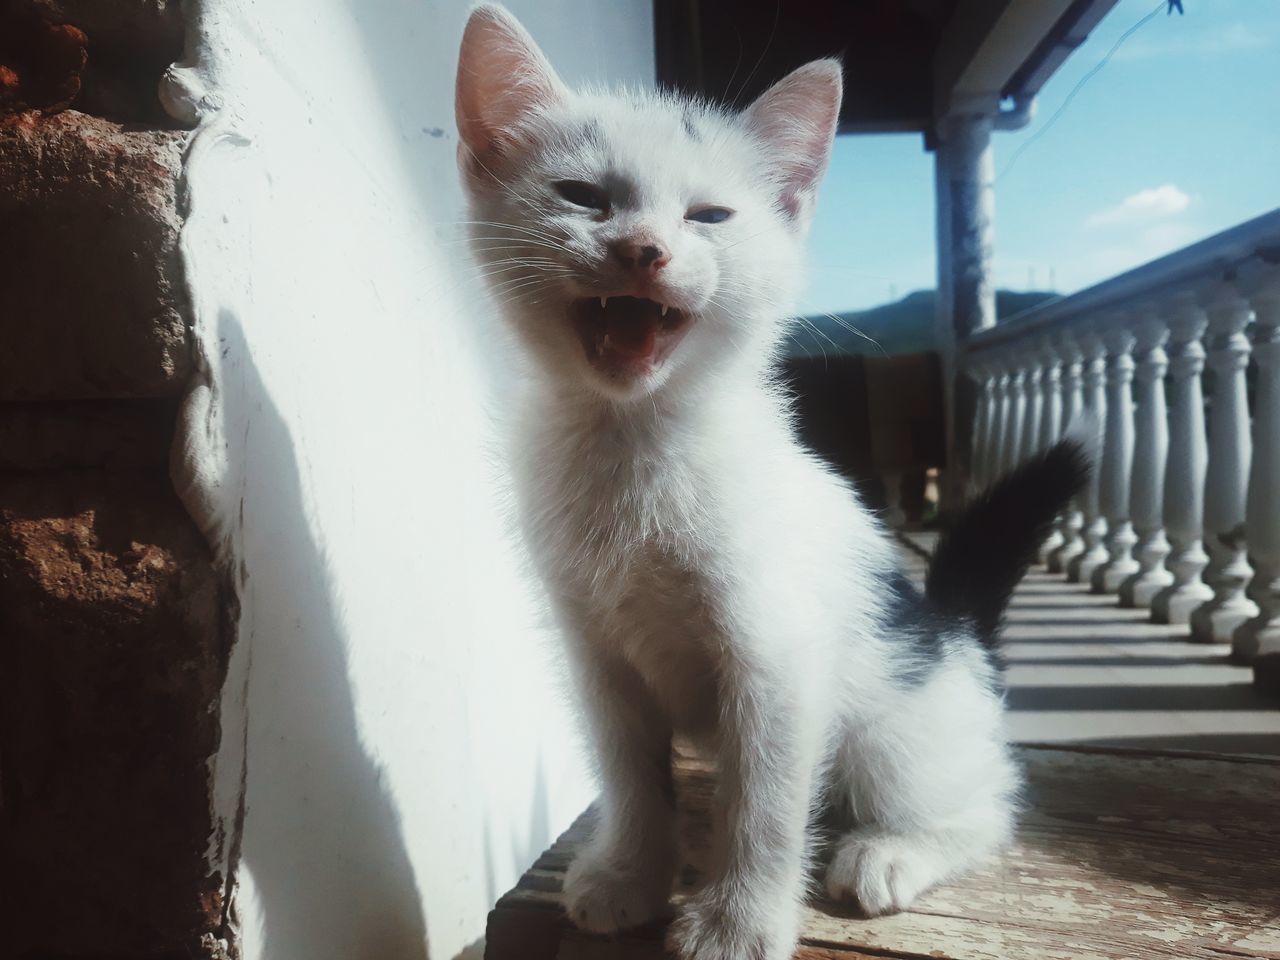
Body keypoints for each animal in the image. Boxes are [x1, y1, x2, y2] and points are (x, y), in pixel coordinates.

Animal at [455, 9, 1085, 960]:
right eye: (583, 196)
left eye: (711, 215)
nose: (642, 251)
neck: (634, 444)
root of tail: (959, 634)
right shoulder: (595, 651)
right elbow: (630, 773)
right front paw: (631, 872)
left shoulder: (778, 658)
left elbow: (764, 801)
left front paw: (739, 920)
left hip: (895, 726)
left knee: (988, 808)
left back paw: (892, 851)